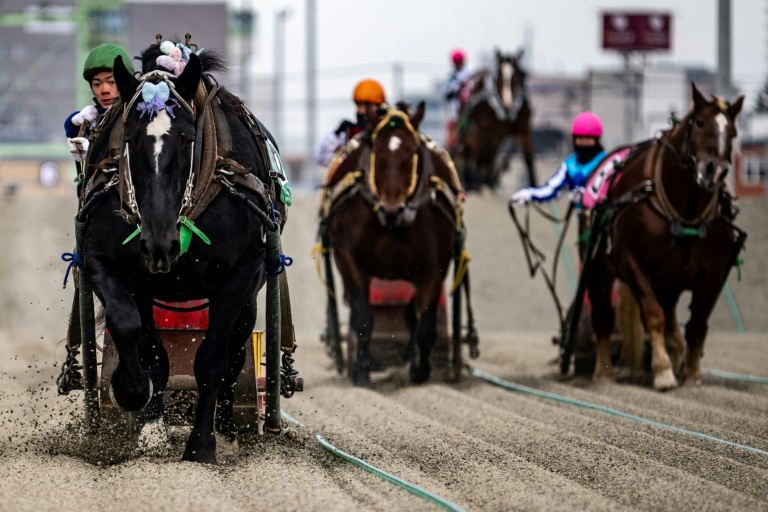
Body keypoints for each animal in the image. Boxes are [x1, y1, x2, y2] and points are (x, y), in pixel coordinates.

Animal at [81, 47, 286, 464]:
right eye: (130, 138)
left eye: (188, 138)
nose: (160, 244)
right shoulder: (105, 261)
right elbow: (133, 332)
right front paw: (136, 402)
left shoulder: (241, 273)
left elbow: (212, 360)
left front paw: (202, 444)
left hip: (250, 295)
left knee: (235, 352)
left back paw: (225, 431)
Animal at [322, 103, 464, 384]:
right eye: (378, 153)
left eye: (412, 153)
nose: (393, 209)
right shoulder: (348, 257)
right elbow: (362, 316)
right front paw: (361, 370)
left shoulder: (434, 264)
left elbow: (426, 321)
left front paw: (421, 370)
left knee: (412, 315)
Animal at [450, 48, 536, 191]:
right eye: (499, 78)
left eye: (517, 75)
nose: (507, 103)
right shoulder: (483, 129)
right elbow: (479, 156)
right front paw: (477, 184)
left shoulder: (524, 128)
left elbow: (529, 159)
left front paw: (534, 186)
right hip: (468, 127)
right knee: (469, 151)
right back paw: (470, 179)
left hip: (496, 135)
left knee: (491, 154)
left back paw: (487, 180)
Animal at [584, 83, 744, 388]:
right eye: (700, 123)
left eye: (732, 131)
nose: (714, 170)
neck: (684, 212)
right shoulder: (631, 261)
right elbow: (653, 315)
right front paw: (663, 372)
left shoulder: (715, 271)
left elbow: (697, 325)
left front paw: (691, 374)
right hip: (600, 268)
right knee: (602, 316)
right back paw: (603, 373)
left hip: (670, 278)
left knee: (671, 315)